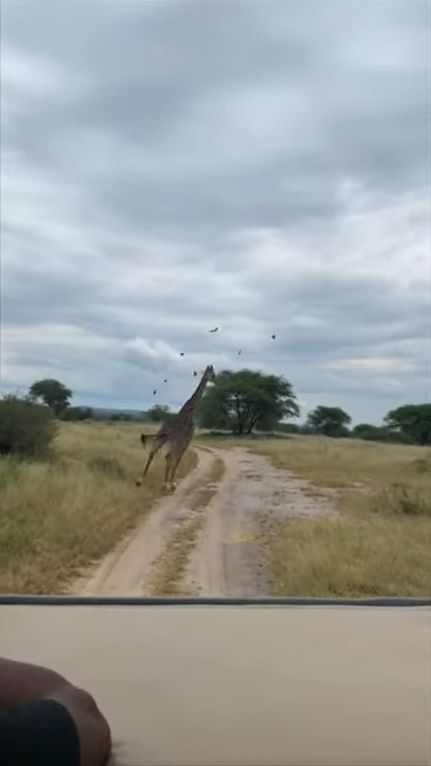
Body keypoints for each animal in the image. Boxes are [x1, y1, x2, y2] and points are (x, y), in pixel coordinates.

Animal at [137, 364, 216, 492]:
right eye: (212, 372)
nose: (215, 378)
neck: (190, 410)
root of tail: (166, 428)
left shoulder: (181, 441)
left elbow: (174, 459)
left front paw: (170, 483)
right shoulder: (186, 440)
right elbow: (178, 459)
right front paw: (172, 483)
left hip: (161, 438)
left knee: (153, 453)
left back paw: (140, 481)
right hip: (173, 441)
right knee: (168, 456)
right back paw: (166, 484)